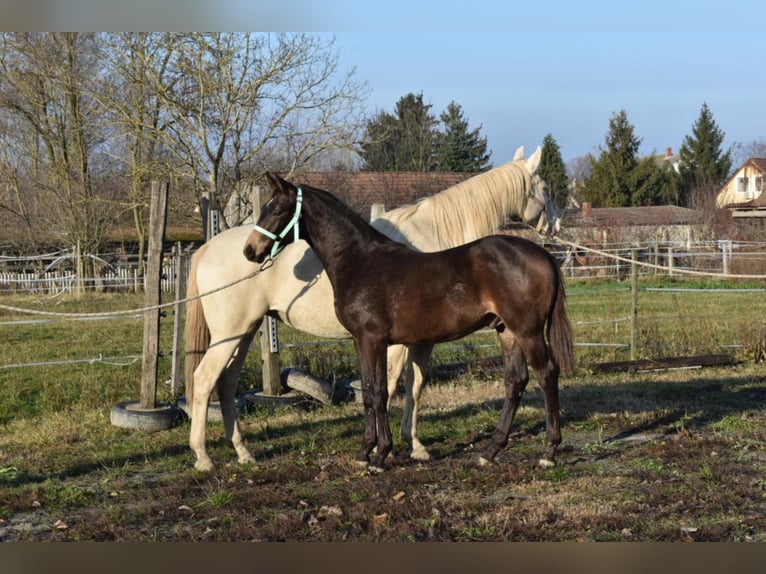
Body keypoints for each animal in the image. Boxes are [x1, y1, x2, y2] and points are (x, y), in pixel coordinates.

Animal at [185, 146, 560, 472]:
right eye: (544, 188)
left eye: (277, 210)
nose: (252, 250)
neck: (362, 260)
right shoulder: (377, 340)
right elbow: (378, 389)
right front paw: (381, 450)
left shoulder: (384, 340)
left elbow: (390, 389)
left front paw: (387, 451)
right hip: (237, 331)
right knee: (213, 381)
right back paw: (215, 455)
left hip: (522, 330)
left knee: (543, 375)